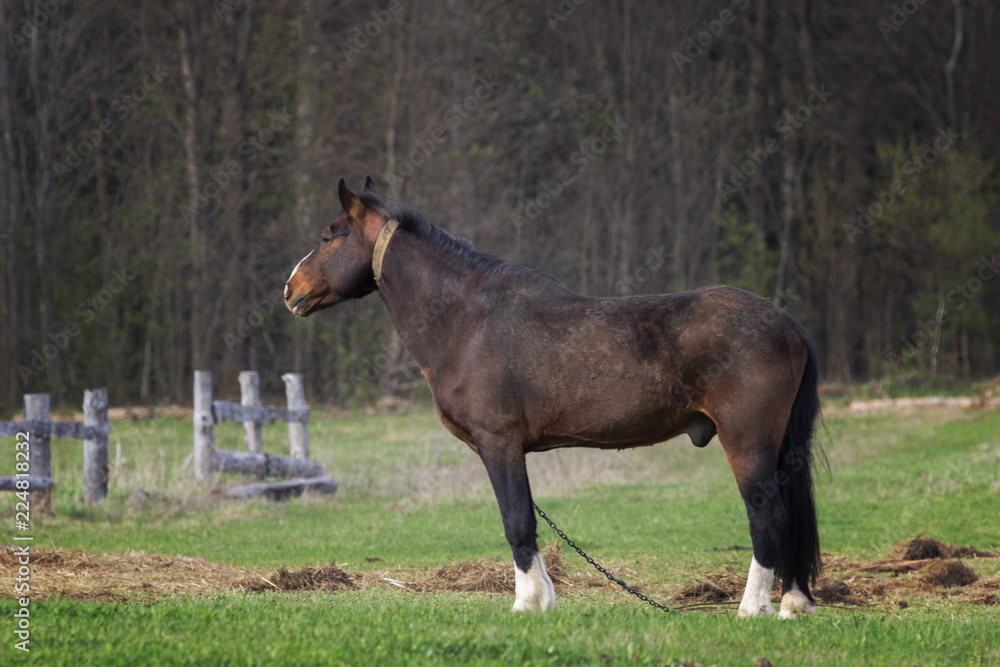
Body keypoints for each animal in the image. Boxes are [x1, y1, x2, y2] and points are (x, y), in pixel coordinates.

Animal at [284, 177, 822, 618]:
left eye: (329, 235)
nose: (290, 290)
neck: (467, 320)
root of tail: (788, 324)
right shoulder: (512, 449)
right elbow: (527, 517)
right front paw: (544, 599)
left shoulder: (498, 443)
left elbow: (516, 522)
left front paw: (526, 603)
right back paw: (792, 604)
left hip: (747, 441)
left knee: (768, 515)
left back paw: (751, 610)